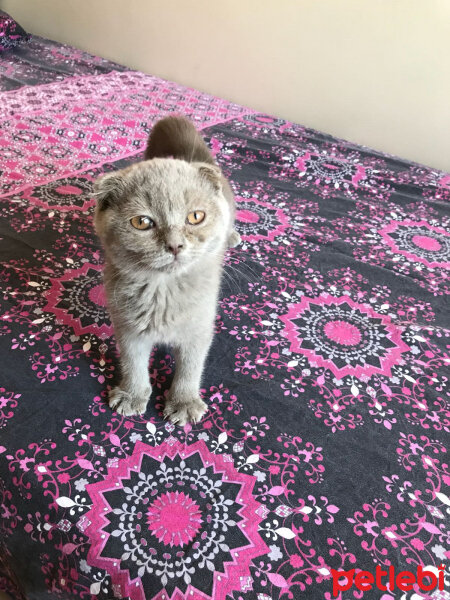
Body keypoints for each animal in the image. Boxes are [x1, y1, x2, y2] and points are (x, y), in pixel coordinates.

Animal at [94, 115, 241, 424]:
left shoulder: (200, 327)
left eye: (195, 217)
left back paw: (231, 236)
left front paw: (184, 402)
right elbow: (133, 363)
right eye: (141, 222)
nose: (174, 245)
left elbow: (191, 367)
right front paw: (132, 395)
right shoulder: (127, 327)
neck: (163, 290)